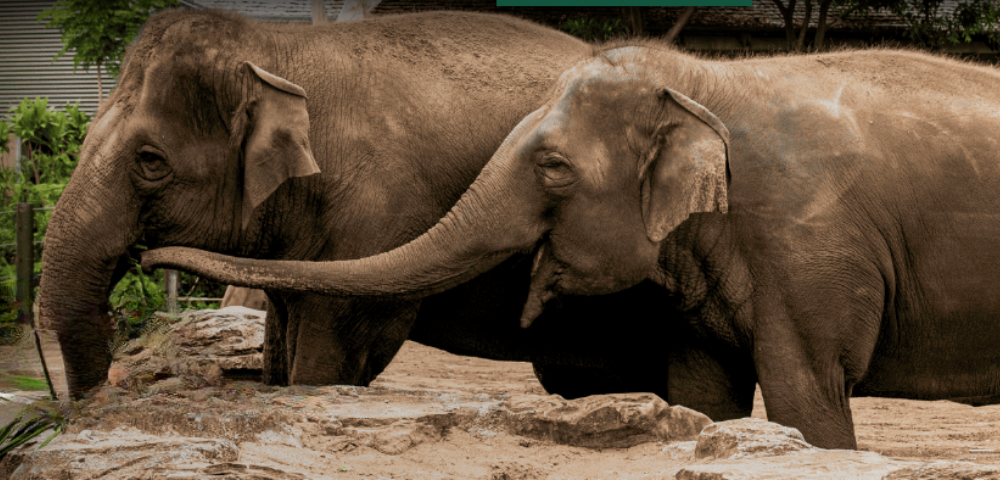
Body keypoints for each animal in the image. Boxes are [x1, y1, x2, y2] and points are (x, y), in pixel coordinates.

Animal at [39, 8, 597, 399]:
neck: (277, 49)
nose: (101, 394)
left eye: (150, 160)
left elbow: (332, 353)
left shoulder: (380, 216)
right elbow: (281, 340)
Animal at [145, 43, 1000, 450]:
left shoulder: (809, 249)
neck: (708, 82)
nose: (151, 258)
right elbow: (705, 396)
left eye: (553, 167)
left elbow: (806, 397)